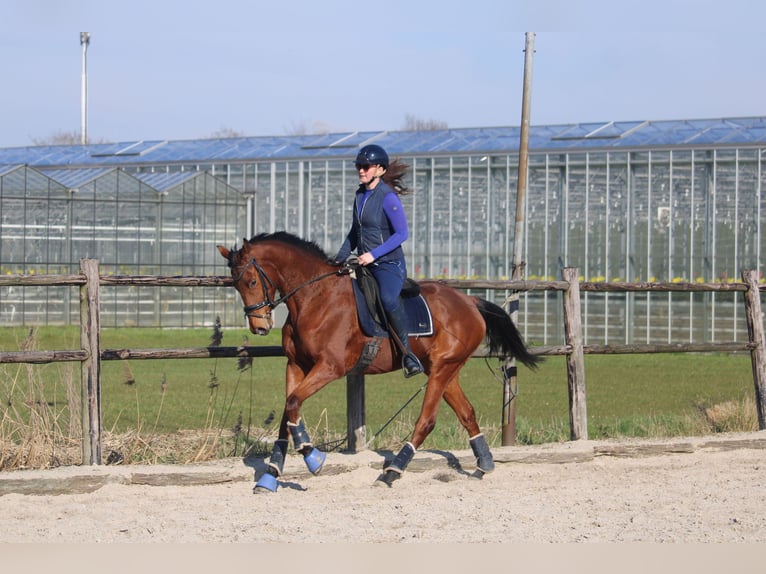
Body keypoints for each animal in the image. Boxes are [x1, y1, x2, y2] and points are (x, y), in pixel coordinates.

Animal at [216, 232, 540, 492]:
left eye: (252, 280)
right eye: (235, 285)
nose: (259, 327)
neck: (315, 298)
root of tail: (470, 302)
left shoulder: (330, 368)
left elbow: (294, 403)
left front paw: (313, 457)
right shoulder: (296, 365)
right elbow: (288, 413)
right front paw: (270, 475)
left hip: (442, 369)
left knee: (427, 421)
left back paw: (392, 472)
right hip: (446, 370)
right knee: (467, 413)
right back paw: (484, 464)